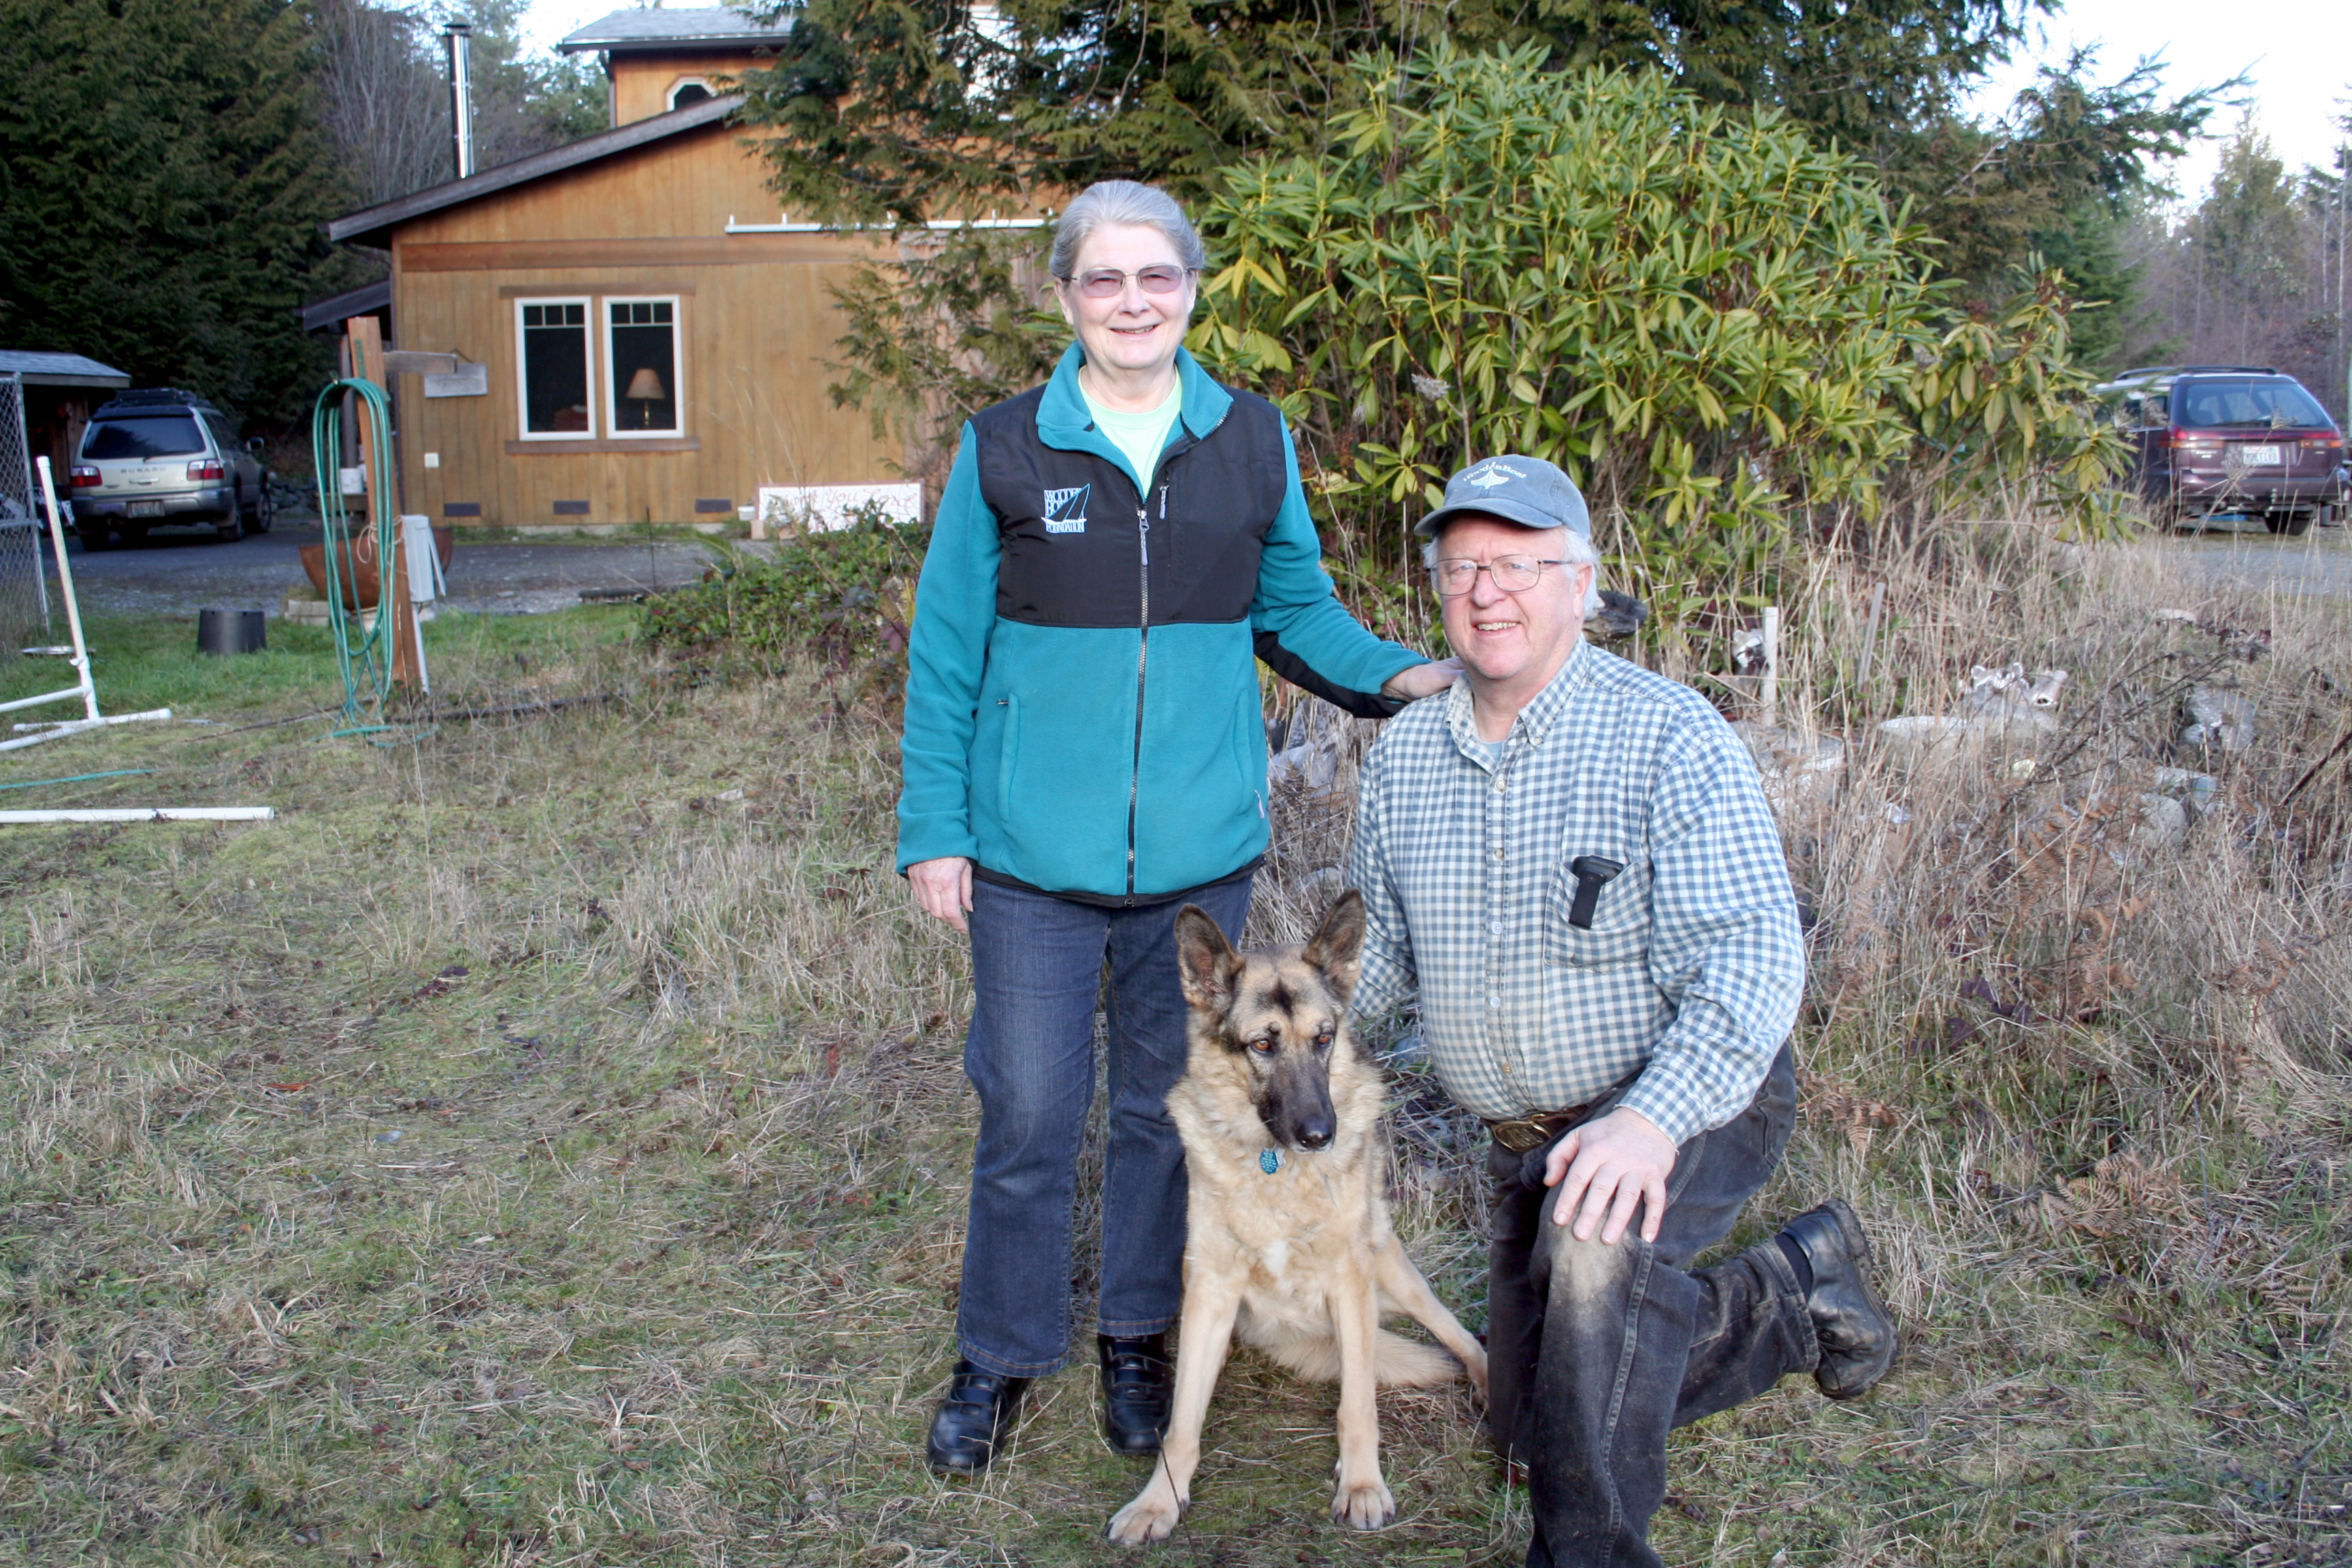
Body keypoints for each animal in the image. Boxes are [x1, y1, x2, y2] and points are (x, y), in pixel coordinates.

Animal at [1105, 888, 1486, 1551]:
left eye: (1324, 1038)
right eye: (1263, 1044)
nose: (1319, 1135)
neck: (1275, 1165)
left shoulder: (1350, 1283)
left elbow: (1358, 1403)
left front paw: (1361, 1485)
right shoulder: (1210, 1292)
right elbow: (1181, 1424)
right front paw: (1159, 1502)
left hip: (1393, 1272)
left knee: (1466, 1342)